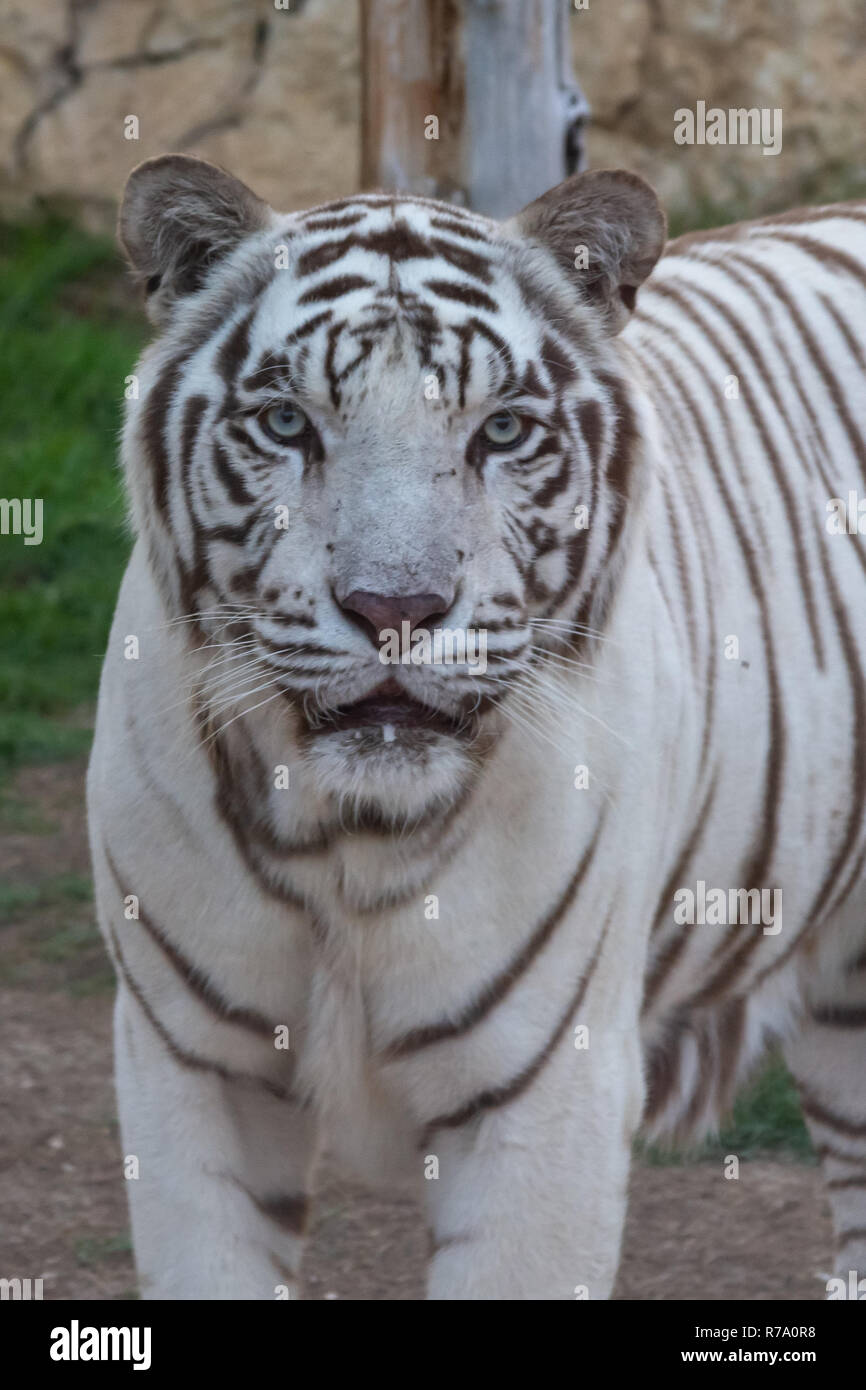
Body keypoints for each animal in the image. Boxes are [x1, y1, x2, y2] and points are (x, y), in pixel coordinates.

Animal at [86, 157, 866, 1295]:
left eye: (499, 430)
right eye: (286, 424)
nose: (395, 608)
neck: (346, 841)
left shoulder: (546, 1092)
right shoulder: (188, 1066)